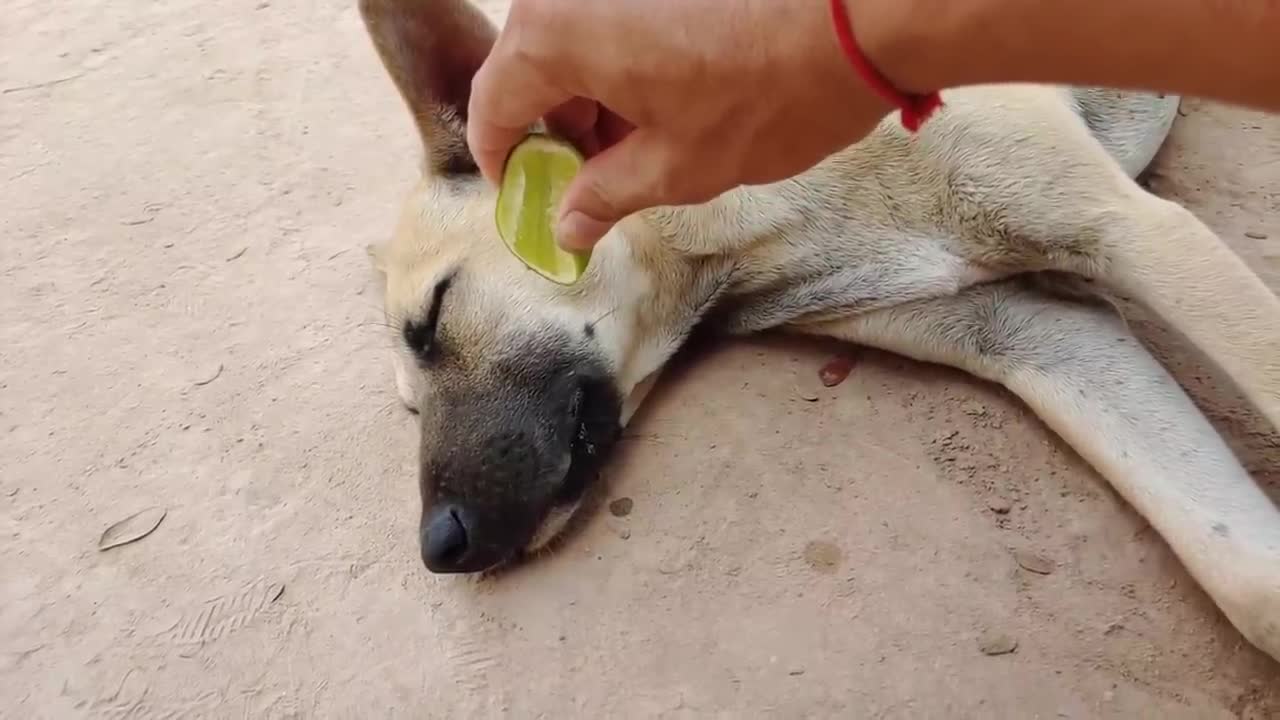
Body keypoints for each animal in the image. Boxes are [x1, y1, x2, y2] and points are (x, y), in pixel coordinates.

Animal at [355, 0, 1280, 661]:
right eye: (408, 407)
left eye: (434, 316)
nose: (438, 546)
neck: (741, 236)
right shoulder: (1044, 335)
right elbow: (1250, 580)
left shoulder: (1127, 226)